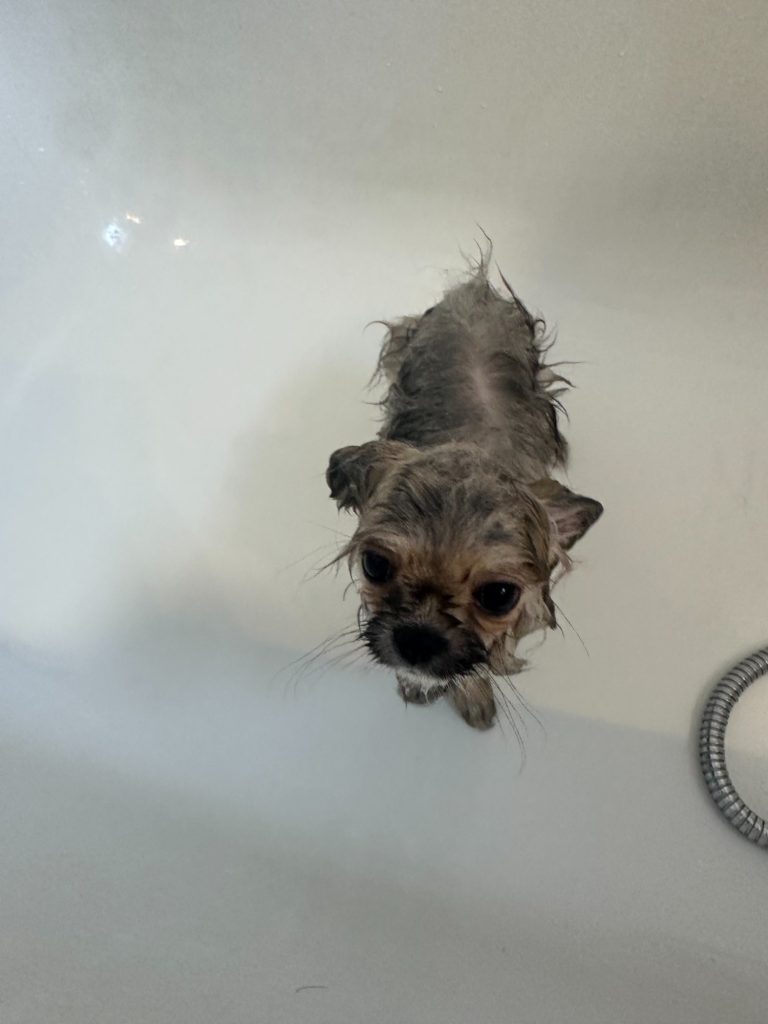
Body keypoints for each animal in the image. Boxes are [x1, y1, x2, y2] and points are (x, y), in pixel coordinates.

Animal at [326, 257, 602, 729]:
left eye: (499, 596)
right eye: (375, 565)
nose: (418, 639)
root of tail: (472, 292)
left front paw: (470, 690)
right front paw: (419, 684)